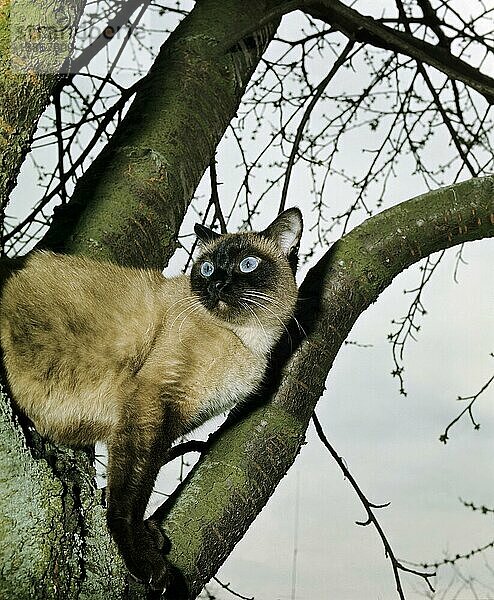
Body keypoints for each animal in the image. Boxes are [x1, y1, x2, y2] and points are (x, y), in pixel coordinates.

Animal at [0, 209, 302, 592]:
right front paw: (143, 559)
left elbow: (137, 481)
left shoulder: (171, 423)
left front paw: (149, 535)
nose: (217, 285)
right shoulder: (151, 402)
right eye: (207, 268)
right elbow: (131, 493)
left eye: (247, 264)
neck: (247, 341)